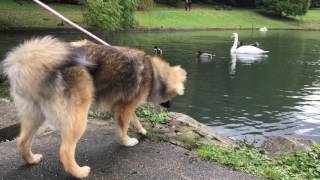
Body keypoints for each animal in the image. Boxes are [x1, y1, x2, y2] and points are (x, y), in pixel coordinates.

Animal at [2, 36, 186, 177]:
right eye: (172, 96)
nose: (170, 106)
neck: (153, 73)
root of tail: (37, 62)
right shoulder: (124, 108)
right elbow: (123, 128)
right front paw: (127, 141)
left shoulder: (123, 105)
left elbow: (134, 120)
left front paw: (141, 130)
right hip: (78, 117)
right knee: (65, 151)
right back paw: (79, 172)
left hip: (34, 115)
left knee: (22, 141)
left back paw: (31, 160)